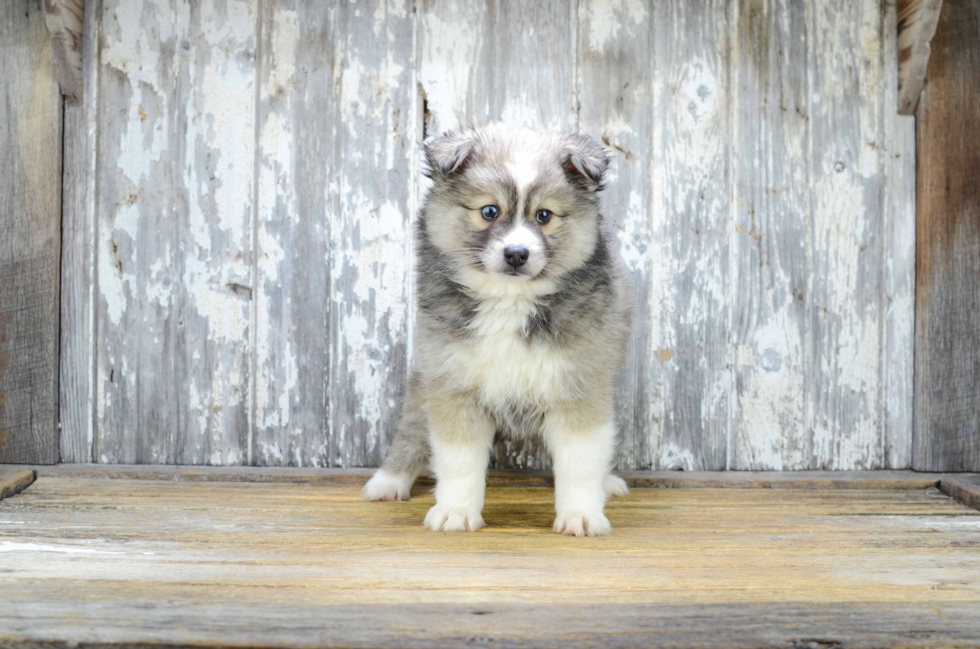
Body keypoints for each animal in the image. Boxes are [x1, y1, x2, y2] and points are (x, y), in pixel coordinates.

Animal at [364, 123, 632, 536]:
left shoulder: (579, 386)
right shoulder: (454, 385)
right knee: (410, 429)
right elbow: (459, 461)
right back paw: (388, 482)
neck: (509, 300)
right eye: (489, 211)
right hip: (424, 380)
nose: (517, 254)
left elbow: (580, 462)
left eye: (544, 215)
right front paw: (455, 512)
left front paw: (581, 515)